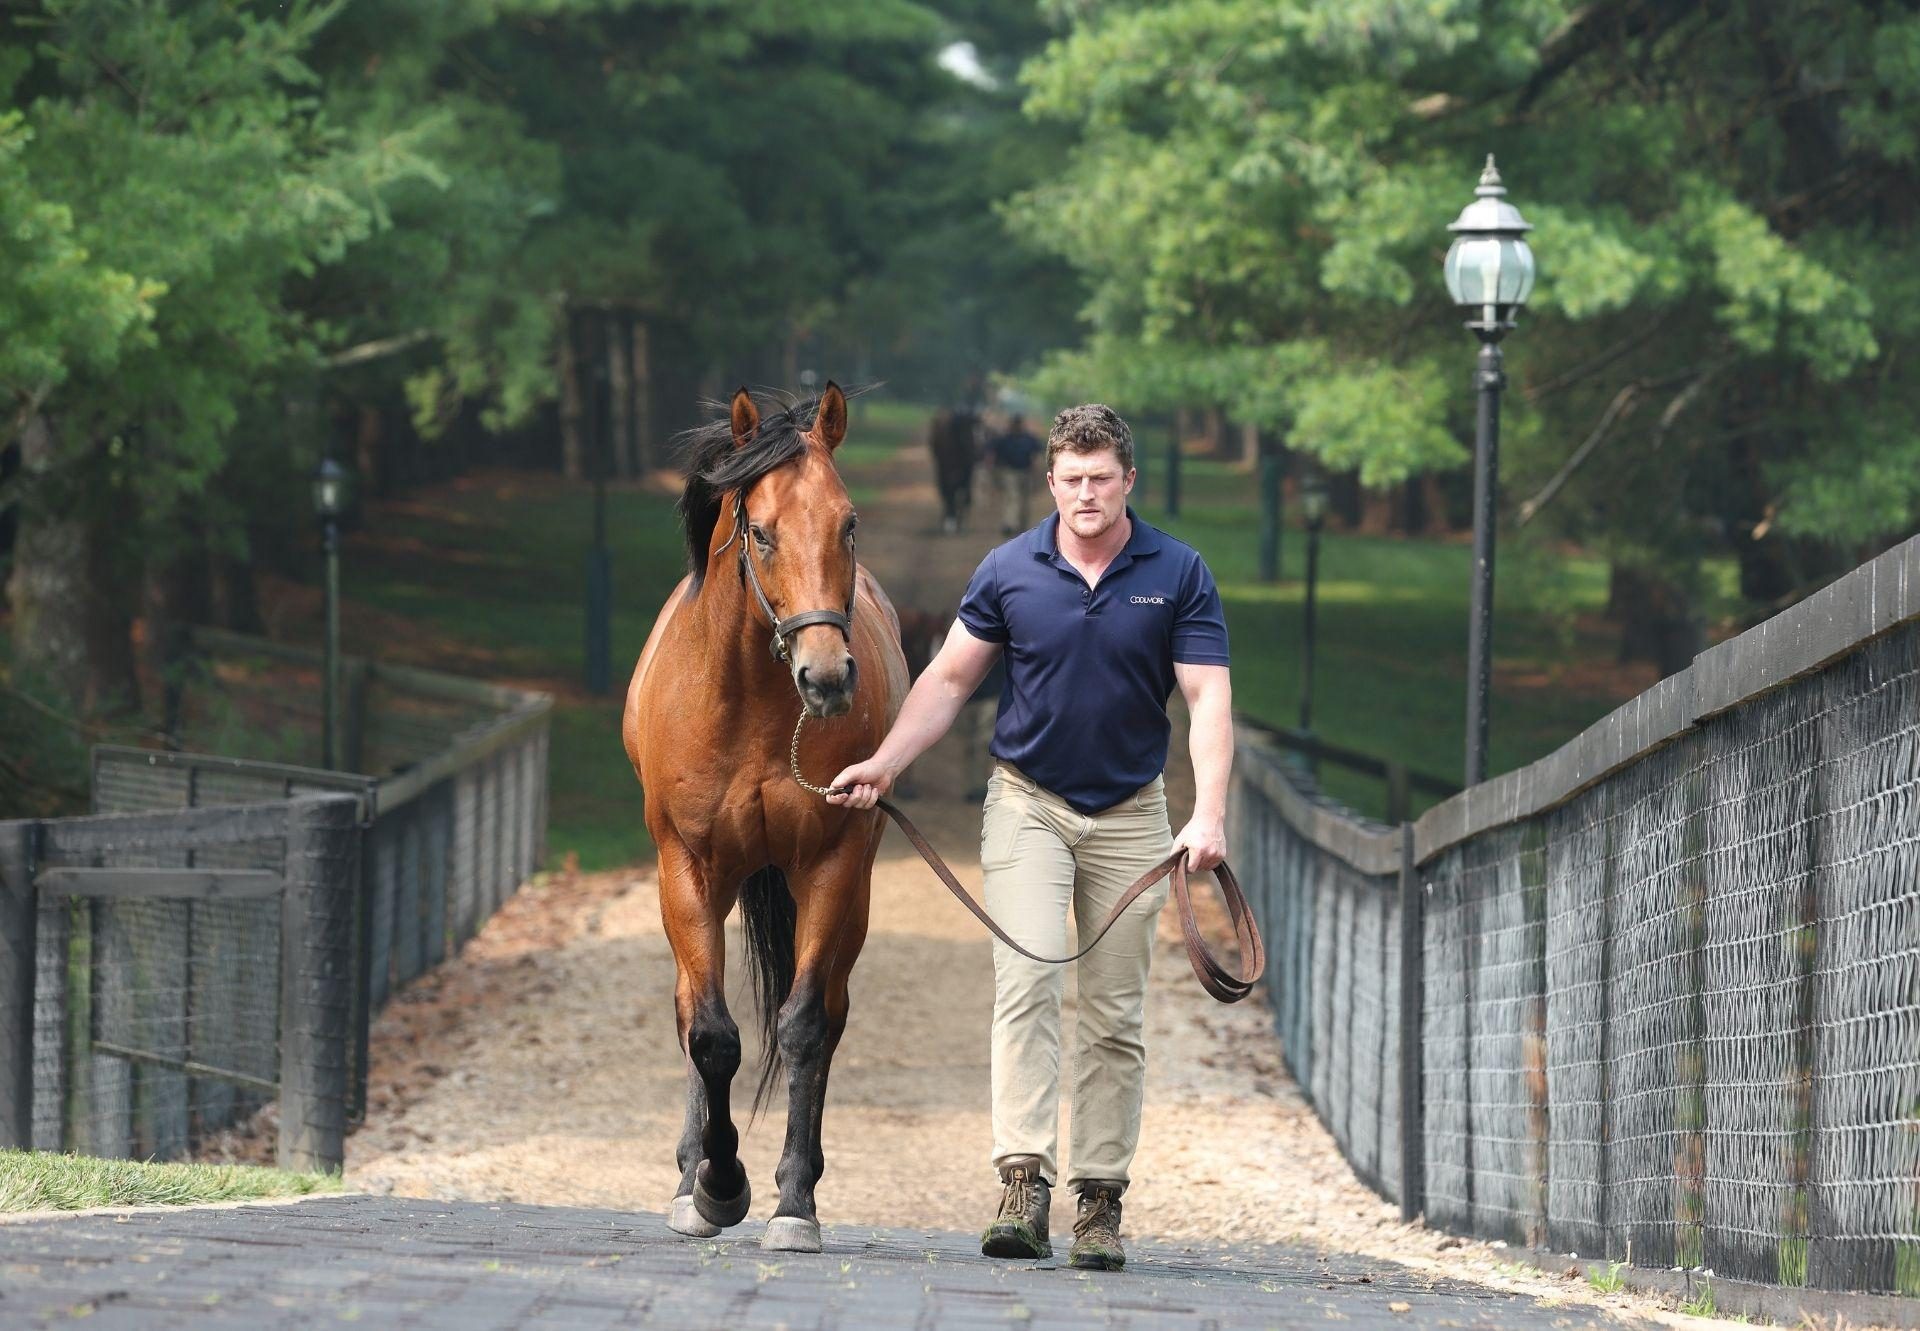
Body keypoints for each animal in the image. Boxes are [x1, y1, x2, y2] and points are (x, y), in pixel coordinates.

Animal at [622, 382, 906, 1244]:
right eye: (760, 528)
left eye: (849, 521)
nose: (827, 676)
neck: (747, 700)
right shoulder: (687, 866)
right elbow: (712, 1034)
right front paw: (716, 1182)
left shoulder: (831, 865)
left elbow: (804, 1023)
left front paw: (792, 1202)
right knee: (692, 1011)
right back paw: (691, 1174)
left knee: (829, 1012)